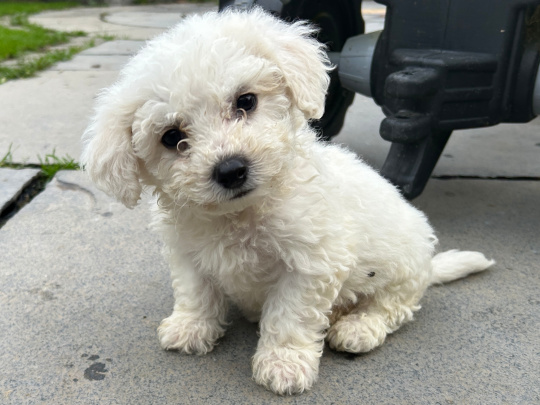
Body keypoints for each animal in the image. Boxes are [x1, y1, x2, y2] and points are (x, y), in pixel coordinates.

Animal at [81, 7, 494, 394]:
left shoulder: (311, 263)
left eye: (246, 101)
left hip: (402, 268)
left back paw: (358, 327)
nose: (231, 169)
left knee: (393, 306)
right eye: (171, 137)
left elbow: (289, 316)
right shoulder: (186, 252)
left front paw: (283, 364)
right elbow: (195, 290)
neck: (239, 215)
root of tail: (428, 265)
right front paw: (191, 326)